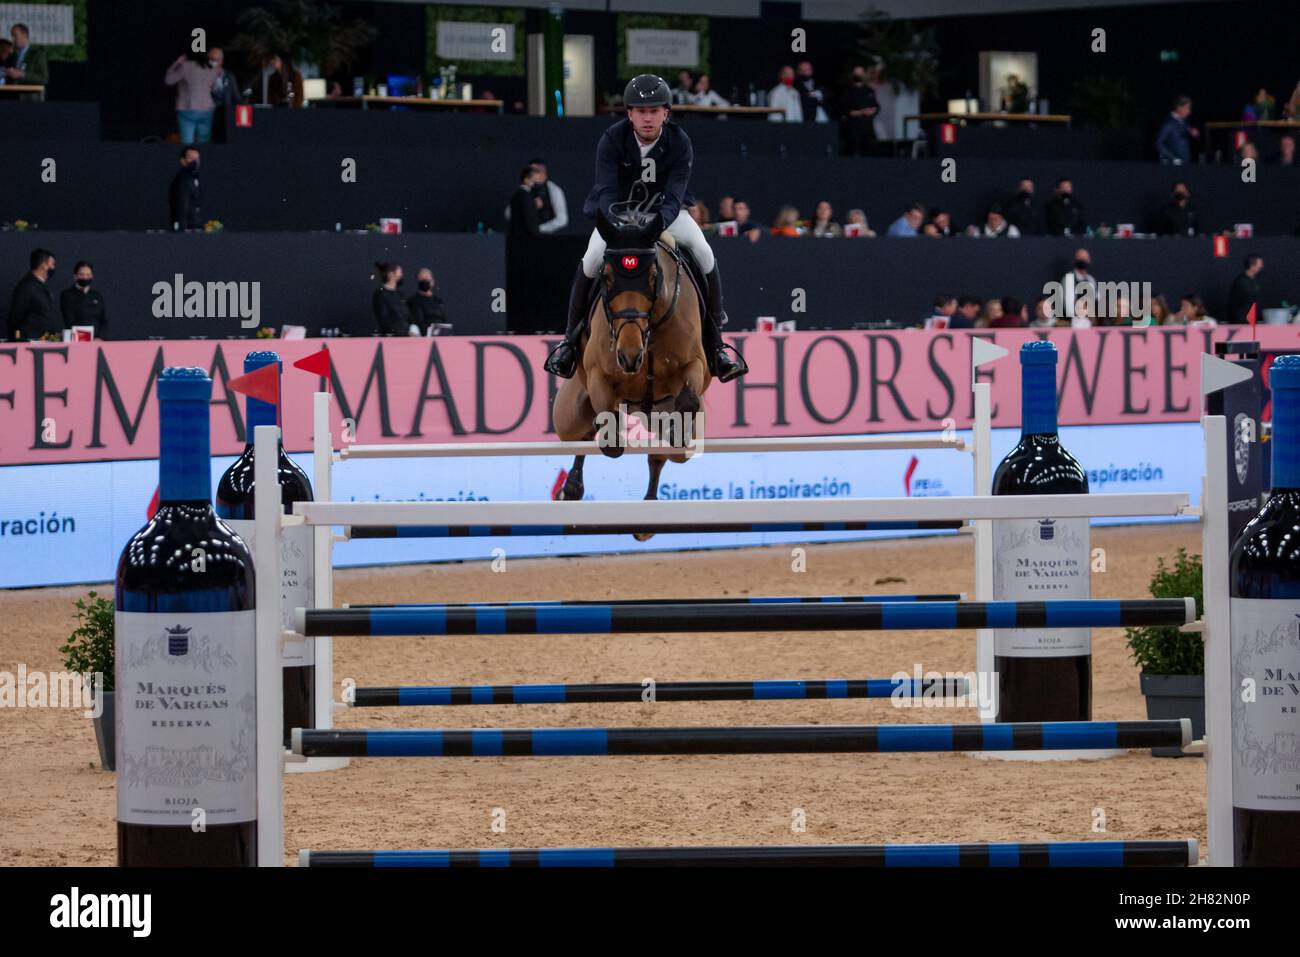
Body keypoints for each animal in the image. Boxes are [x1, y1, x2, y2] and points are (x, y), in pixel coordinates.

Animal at [548, 210, 712, 530]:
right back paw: (570, 490)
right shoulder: (598, 376)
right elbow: (609, 432)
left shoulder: (695, 365)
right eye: (606, 277)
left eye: (653, 277)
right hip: (568, 416)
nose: (629, 356)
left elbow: (686, 401)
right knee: (580, 437)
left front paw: (677, 432)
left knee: (666, 454)